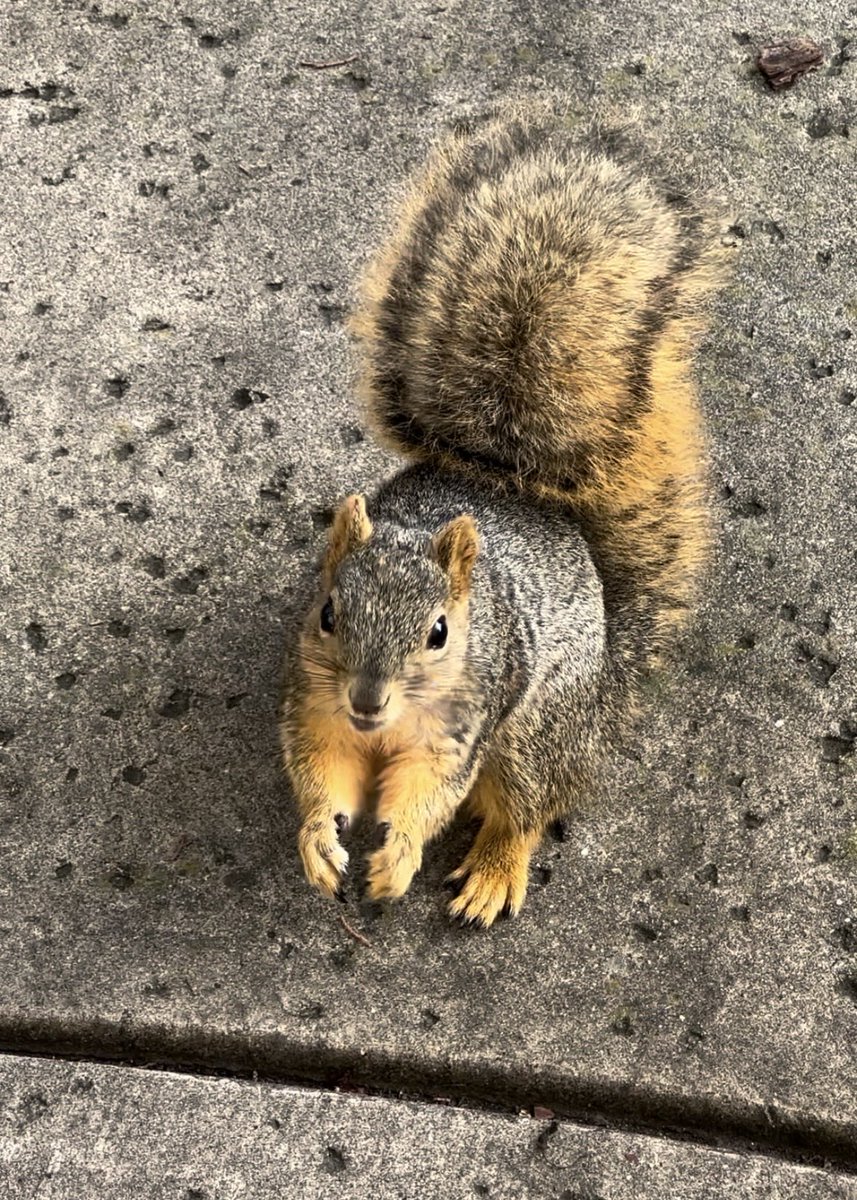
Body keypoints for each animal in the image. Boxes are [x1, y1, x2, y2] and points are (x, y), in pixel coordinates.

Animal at [278, 105, 725, 927]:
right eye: (327, 614)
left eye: (440, 633)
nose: (366, 698)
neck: (385, 726)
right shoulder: (314, 702)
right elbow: (320, 771)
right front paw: (318, 841)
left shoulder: (462, 726)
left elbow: (431, 793)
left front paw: (398, 857)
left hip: (533, 734)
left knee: (524, 809)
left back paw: (491, 874)